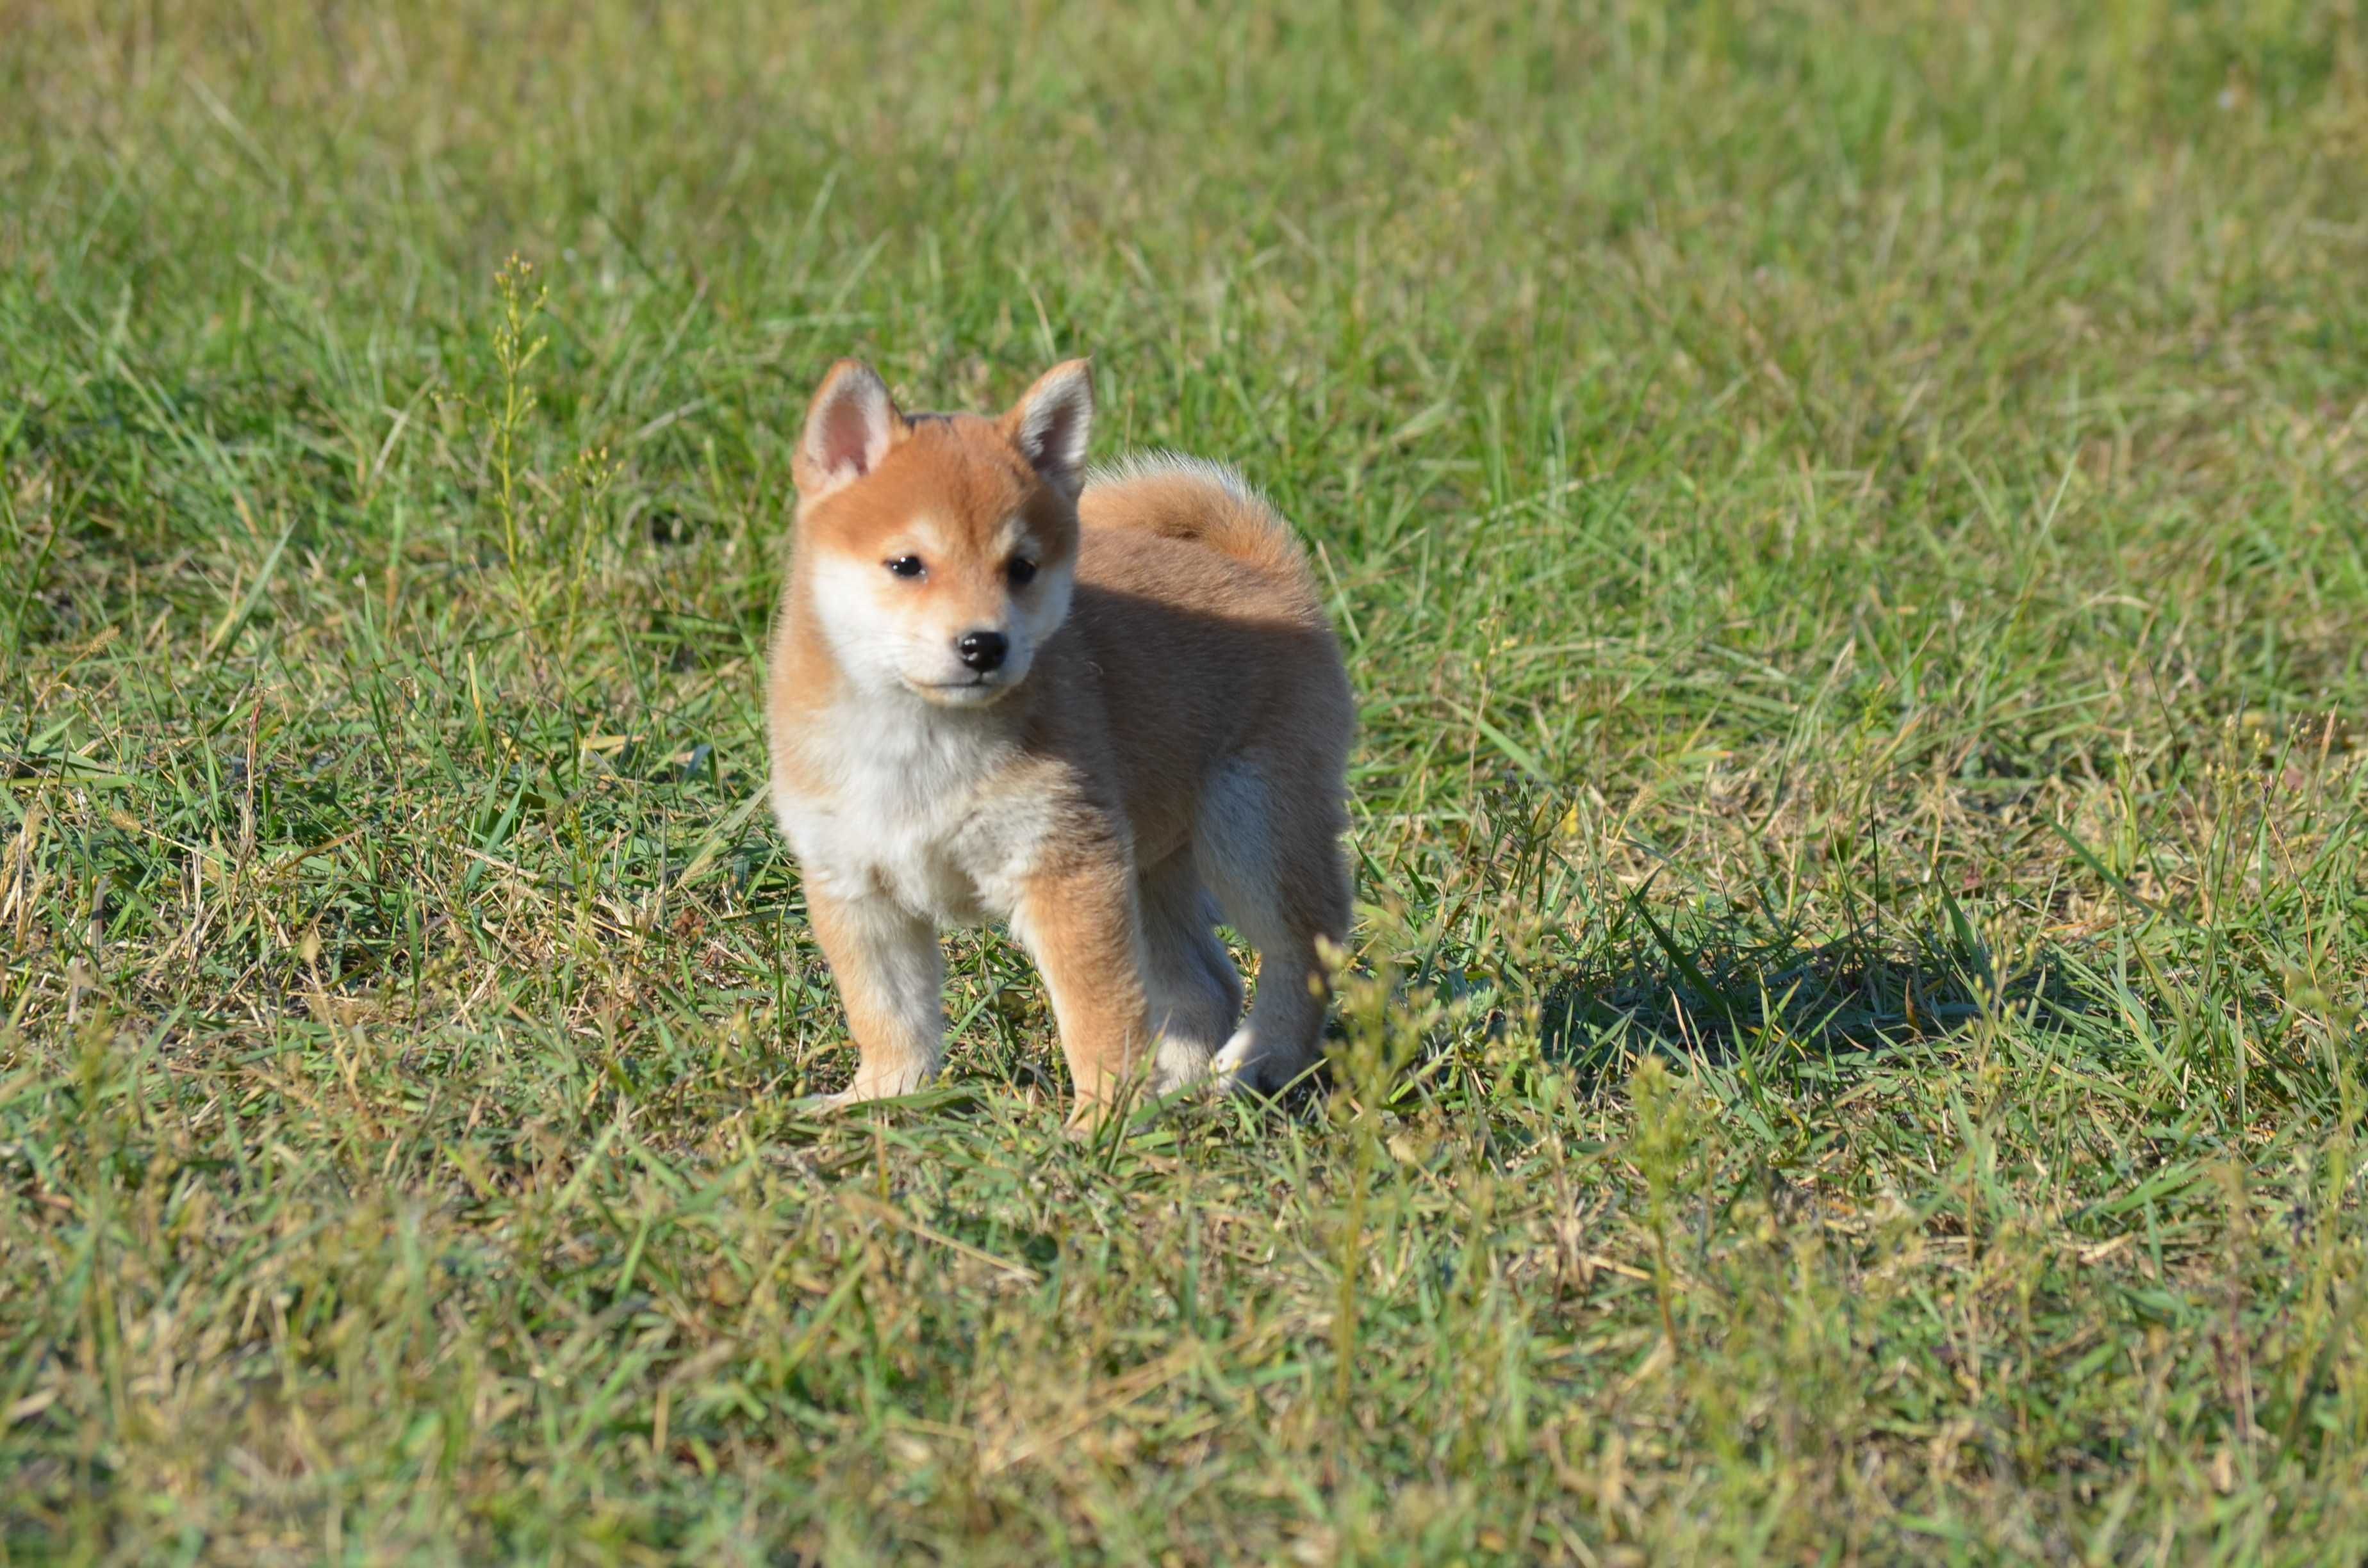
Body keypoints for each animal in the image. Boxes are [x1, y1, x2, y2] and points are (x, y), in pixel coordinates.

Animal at [771, 357, 1354, 1122]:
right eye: (907, 565)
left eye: (1021, 567)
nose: (984, 645)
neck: (919, 742)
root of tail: (1262, 569)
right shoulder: (857, 887)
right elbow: (889, 1016)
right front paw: (878, 1102)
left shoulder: (1068, 872)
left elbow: (1098, 1020)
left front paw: (1103, 1124)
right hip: (1151, 868)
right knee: (1205, 987)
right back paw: (1182, 1092)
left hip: (1250, 831)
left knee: (1303, 951)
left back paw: (1261, 1065)